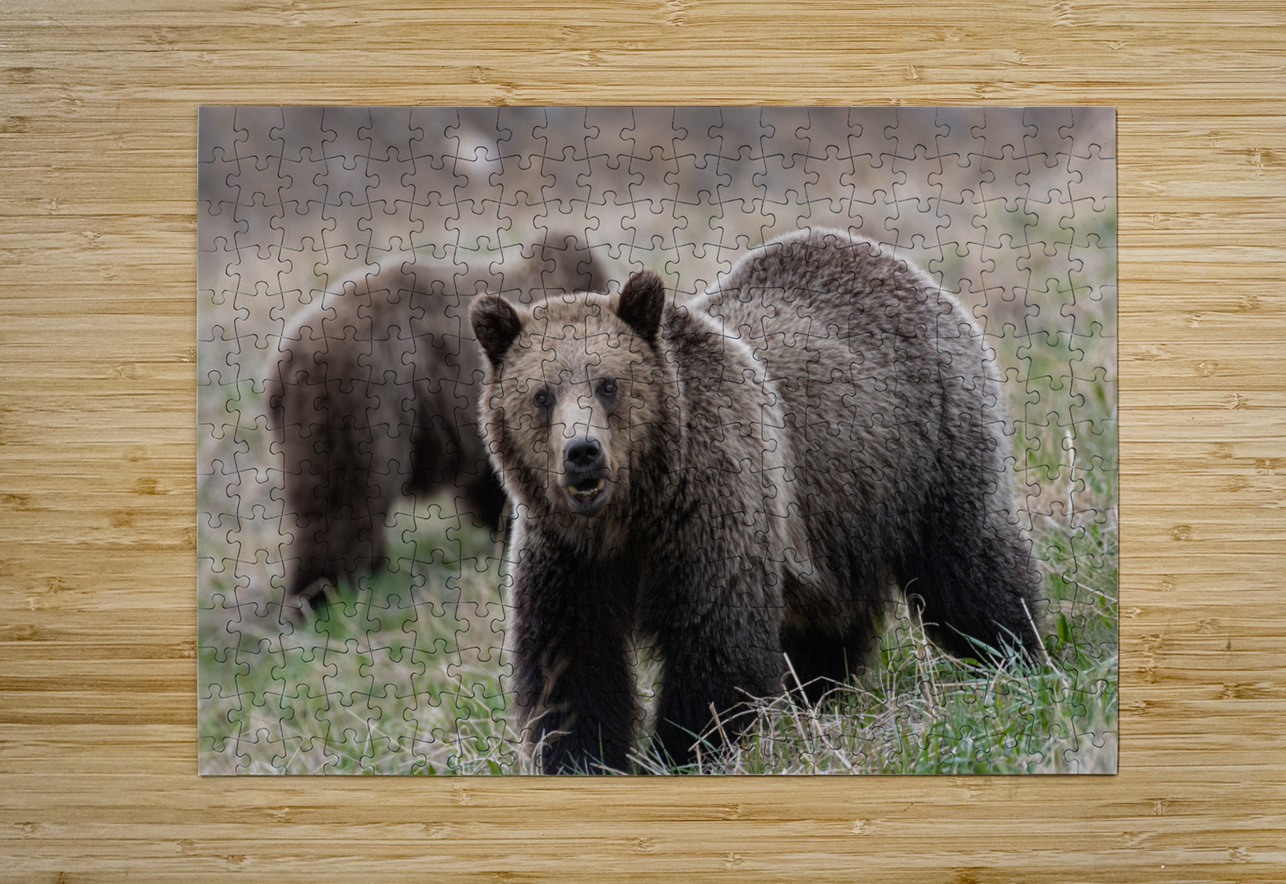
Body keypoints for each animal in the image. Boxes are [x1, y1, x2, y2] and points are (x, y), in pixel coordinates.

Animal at [470, 228, 1042, 774]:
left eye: (609, 384)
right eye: (541, 395)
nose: (582, 452)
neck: (631, 514)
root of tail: (895, 263)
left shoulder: (711, 502)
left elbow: (716, 644)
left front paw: (680, 753)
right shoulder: (565, 552)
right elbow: (571, 663)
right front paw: (582, 758)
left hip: (928, 444)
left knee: (966, 563)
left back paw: (1014, 654)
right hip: (839, 510)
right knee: (826, 621)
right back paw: (819, 695)